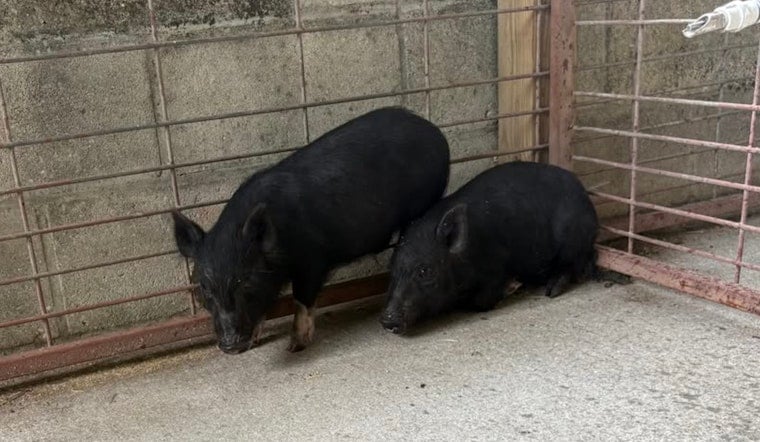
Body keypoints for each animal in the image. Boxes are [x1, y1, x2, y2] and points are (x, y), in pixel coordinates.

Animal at [172, 107, 449, 353]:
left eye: (245, 281)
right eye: (204, 287)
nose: (231, 346)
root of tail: (435, 132)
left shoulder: (313, 259)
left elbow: (301, 297)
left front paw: (296, 346)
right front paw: (257, 341)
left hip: (424, 200)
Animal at [380, 161, 599, 334]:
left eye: (425, 271)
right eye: (392, 269)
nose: (387, 319)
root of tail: (584, 194)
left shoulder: (497, 265)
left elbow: (480, 302)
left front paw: (512, 287)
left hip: (573, 237)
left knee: (571, 265)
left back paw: (551, 290)